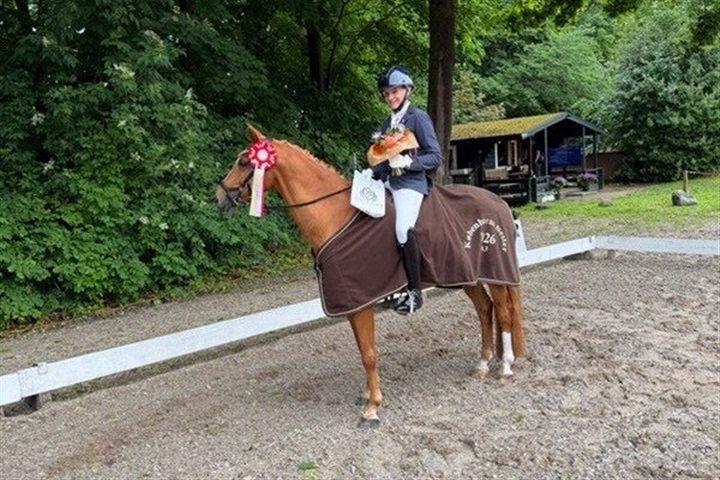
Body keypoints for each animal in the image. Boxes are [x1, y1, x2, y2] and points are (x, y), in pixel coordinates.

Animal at [215, 125, 526, 428]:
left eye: (244, 161)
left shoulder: (361, 301)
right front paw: (367, 395)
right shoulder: (354, 303)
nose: (219, 198)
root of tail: (498, 201)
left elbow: (369, 354)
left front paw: (372, 408)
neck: (336, 216)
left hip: (496, 276)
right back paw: (482, 364)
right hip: (467, 277)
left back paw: (505, 368)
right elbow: (363, 350)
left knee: (503, 313)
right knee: (484, 310)